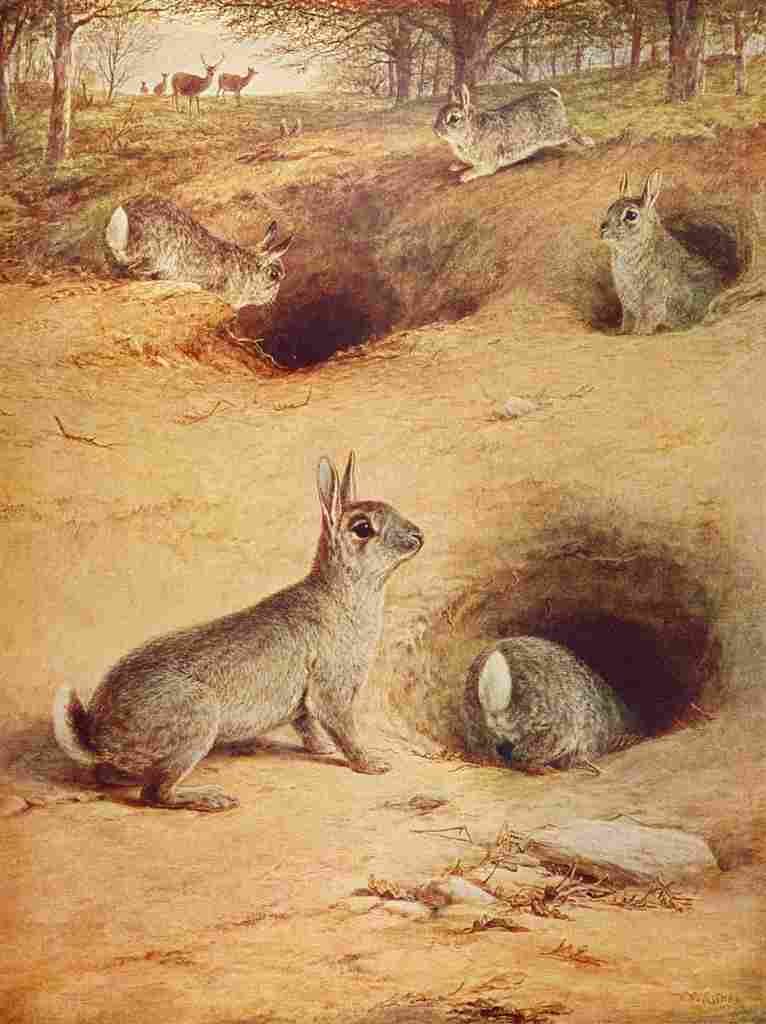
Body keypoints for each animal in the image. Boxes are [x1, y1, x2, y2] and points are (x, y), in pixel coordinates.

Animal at [52, 453, 424, 813]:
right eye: (363, 529)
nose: (418, 536)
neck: (344, 591)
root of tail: (99, 741)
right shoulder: (331, 689)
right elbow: (344, 730)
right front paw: (372, 764)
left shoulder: (305, 702)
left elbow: (308, 726)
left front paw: (323, 751)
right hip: (198, 720)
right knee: (155, 793)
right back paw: (213, 799)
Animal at [433, 84, 594, 184]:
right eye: (439, 113)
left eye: (454, 118)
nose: (436, 131)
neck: (471, 129)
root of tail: (553, 96)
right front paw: (455, 166)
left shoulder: (488, 162)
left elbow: (480, 169)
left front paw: (465, 176)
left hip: (554, 132)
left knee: (573, 129)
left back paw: (589, 142)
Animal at [599, 170, 723, 334]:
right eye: (610, 208)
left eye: (631, 215)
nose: (603, 230)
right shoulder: (627, 304)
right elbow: (628, 320)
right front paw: (622, 332)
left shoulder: (652, 299)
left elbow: (647, 320)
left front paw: (639, 333)